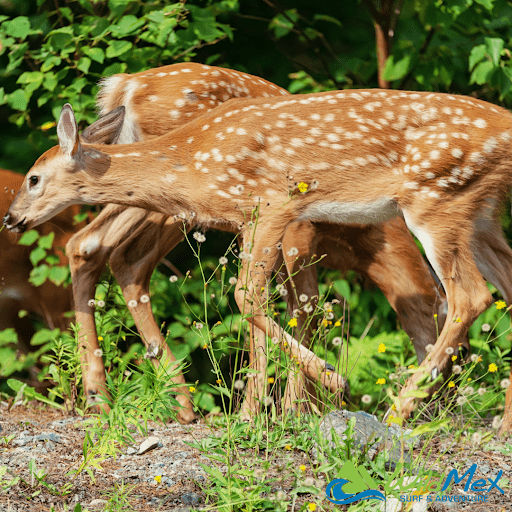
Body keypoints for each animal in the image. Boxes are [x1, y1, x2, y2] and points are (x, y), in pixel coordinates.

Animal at [8, 91, 508, 428]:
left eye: (34, 178)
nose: (11, 218)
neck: (191, 164)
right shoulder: (248, 221)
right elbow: (258, 302)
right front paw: (255, 414)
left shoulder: (272, 204)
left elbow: (247, 297)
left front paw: (330, 382)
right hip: (482, 218)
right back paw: (496, 427)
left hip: (437, 199)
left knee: (469, 297)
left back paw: (397, 412)